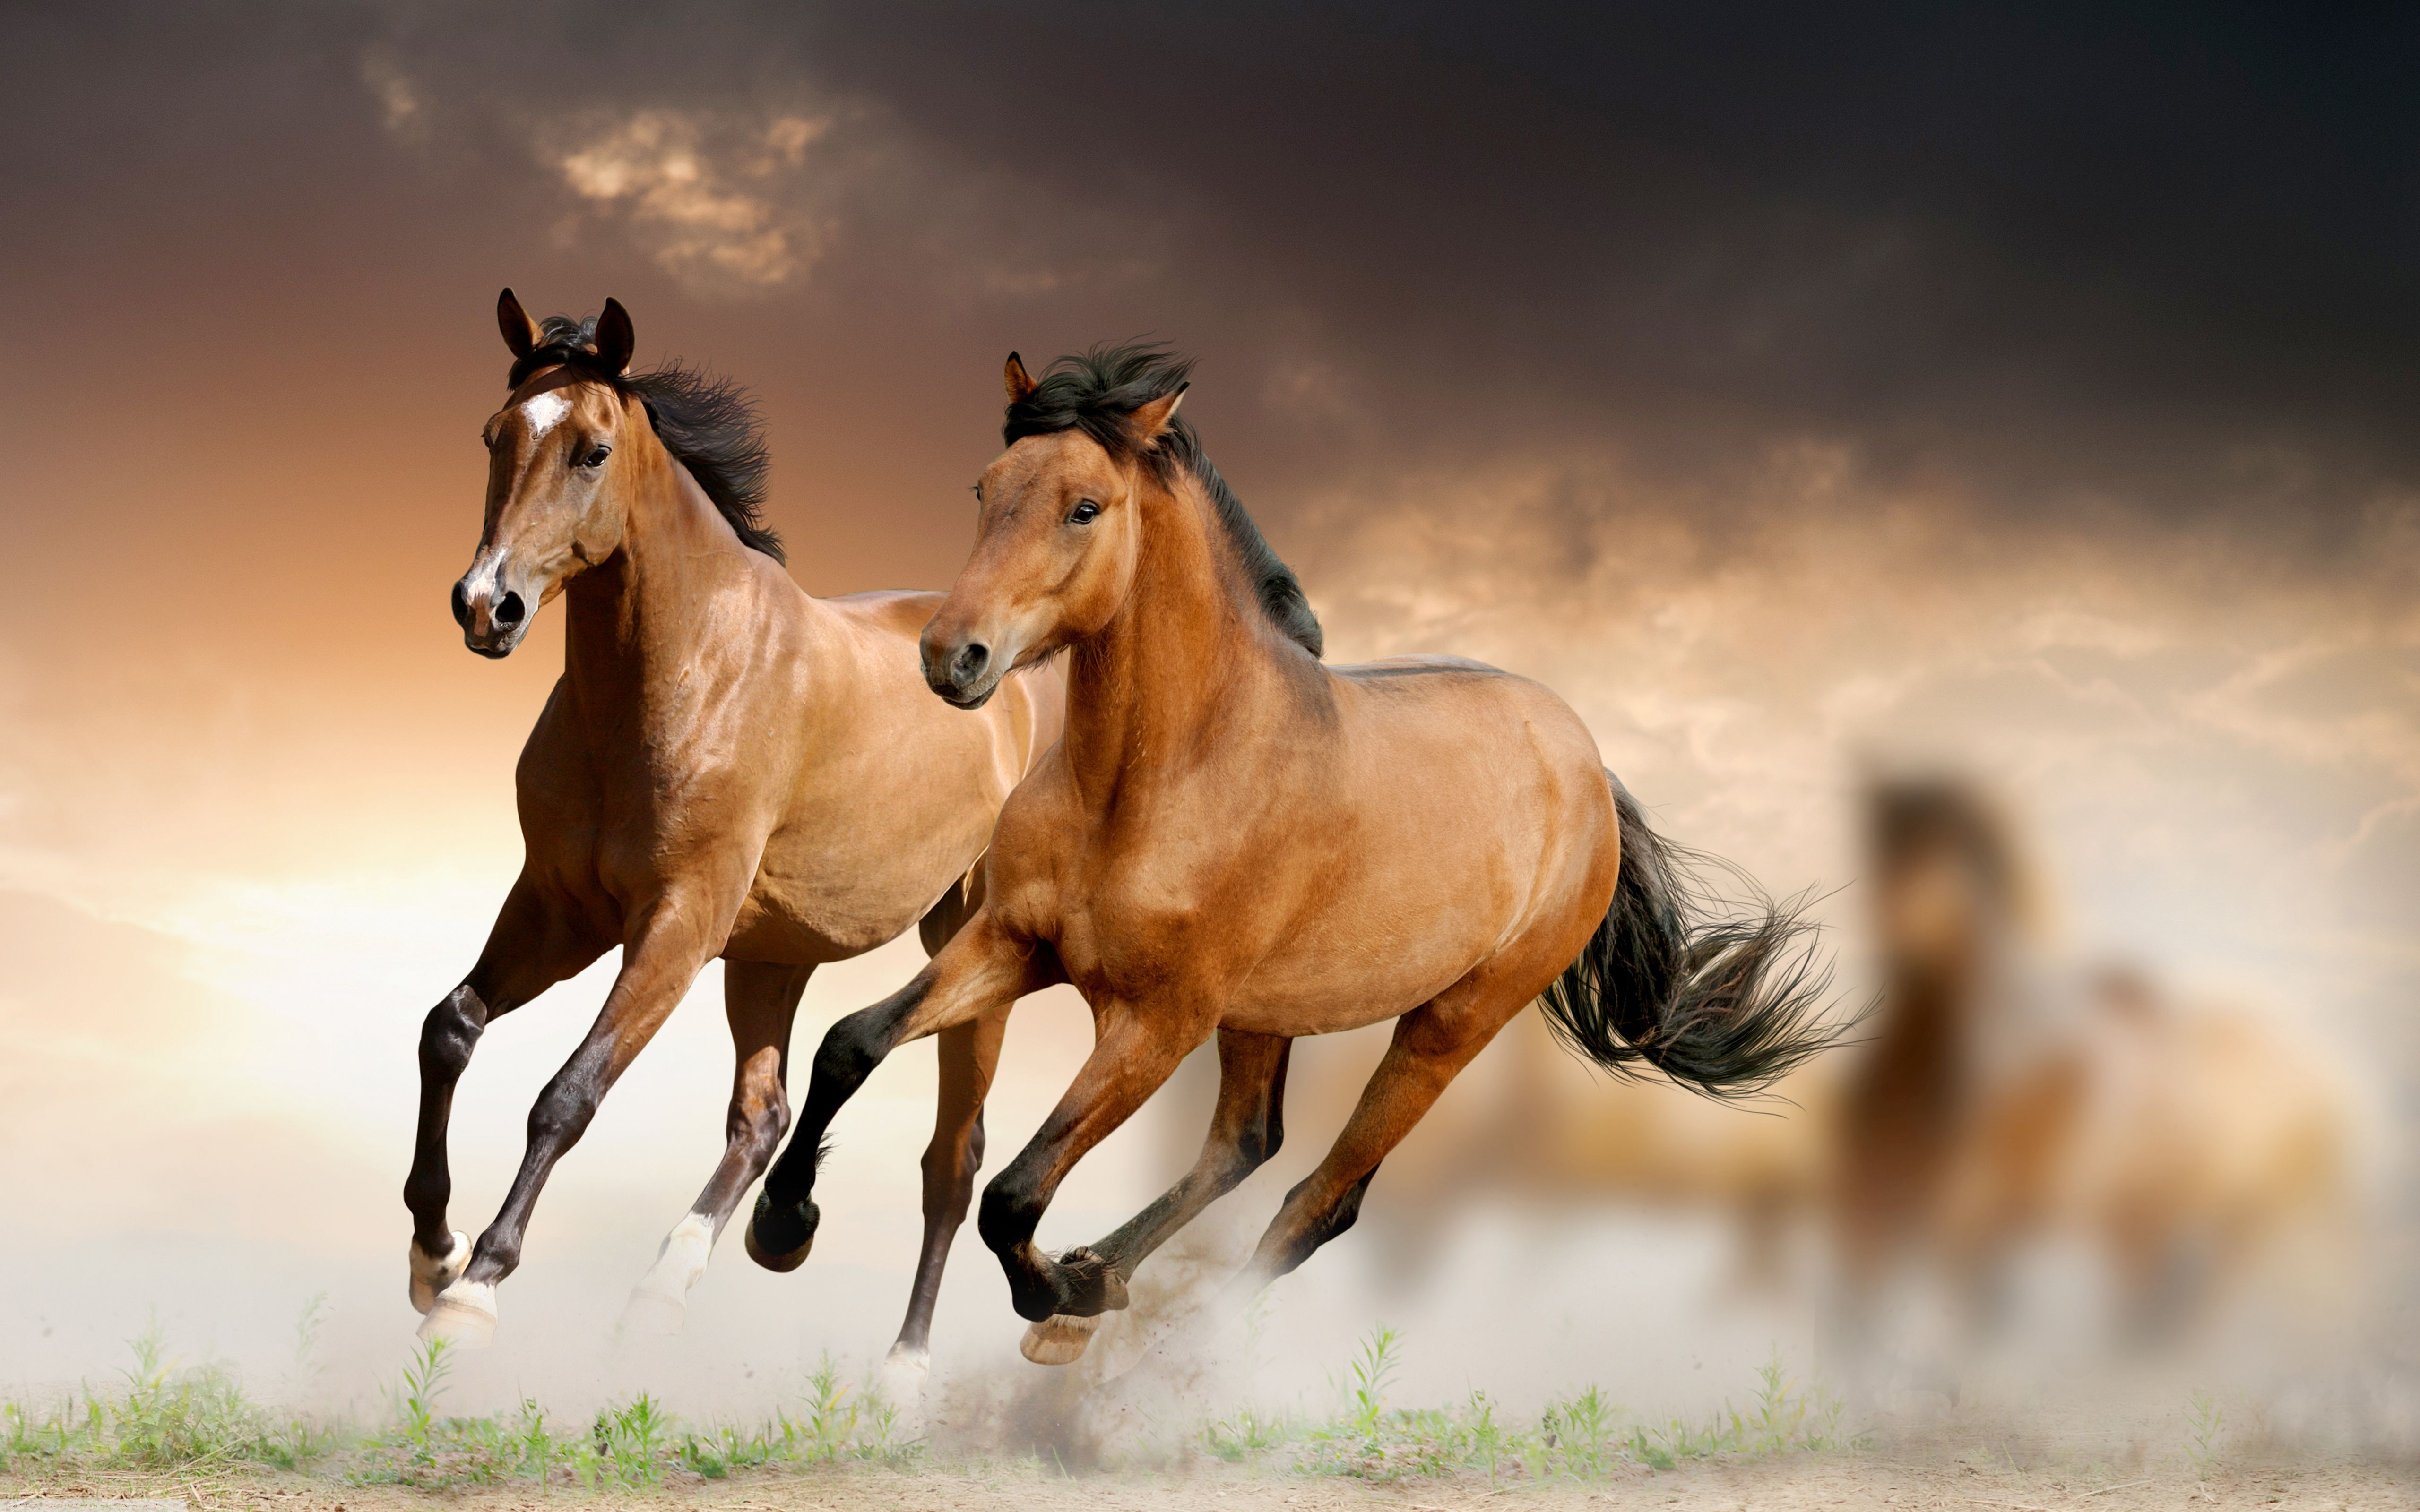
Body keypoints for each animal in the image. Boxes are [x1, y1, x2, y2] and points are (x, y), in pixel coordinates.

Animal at [405, 292, 1058, 1398]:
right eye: (495, 436)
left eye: (591, 450)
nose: (486, 605)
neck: (682, 674)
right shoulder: (558, 908)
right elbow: (449, 1028)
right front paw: (430, 1253)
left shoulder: (675, 924)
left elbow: (567, 1095)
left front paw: (475, 1292)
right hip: (771, 957)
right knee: (763, 1119)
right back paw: (682, 1282)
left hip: (967, 949)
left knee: (951, 1160)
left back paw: (903, 1365)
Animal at [741, 343, 1853, 1366]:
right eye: (986, 489)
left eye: (1085, 508)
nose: (951, 657)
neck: (1155, 779)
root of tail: (1587, 769)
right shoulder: (1015, 943)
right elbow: (851, 1042)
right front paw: (783, 1229)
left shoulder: (1157, 1023)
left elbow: (1014, 1195)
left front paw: (1054, 1291)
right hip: (1264, 1015)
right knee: (1246, 1144)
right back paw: (1101, 1281)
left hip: (1446, 1025)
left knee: (1319, 1202)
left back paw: (1144, 1344)